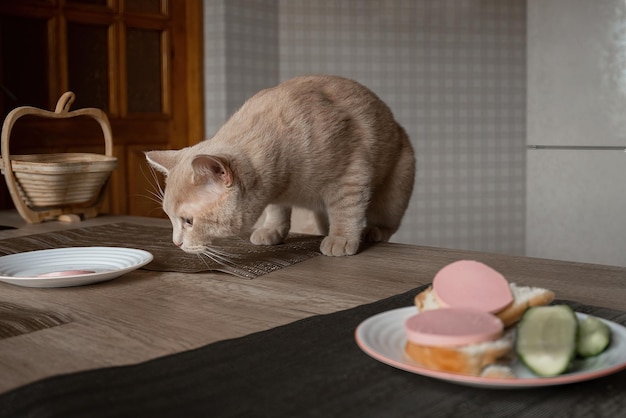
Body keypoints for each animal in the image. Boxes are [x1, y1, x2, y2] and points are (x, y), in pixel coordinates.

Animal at [146, 76, 414, 256]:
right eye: (170, 218)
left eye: (188, 221)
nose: (176, 243)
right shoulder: (275, 190)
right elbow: (277, 210)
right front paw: (272, 230)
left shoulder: (351, 176)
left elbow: (346, 211)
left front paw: (341, 238)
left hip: (393, 194)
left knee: (385, 223)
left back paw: (372, 232)